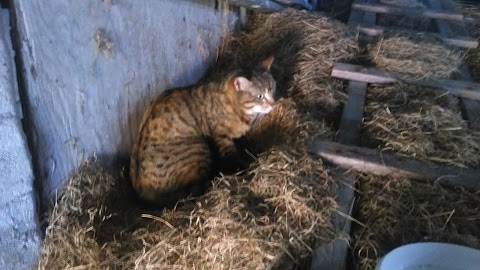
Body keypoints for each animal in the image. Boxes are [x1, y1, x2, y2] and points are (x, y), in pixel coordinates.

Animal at [131, 56, 276, 206]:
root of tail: (143, 194)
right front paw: (242, 168)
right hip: (198, 148)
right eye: (260, 96)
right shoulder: (221, 137)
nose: (273, 104)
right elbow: (231, 155)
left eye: (272, 89)